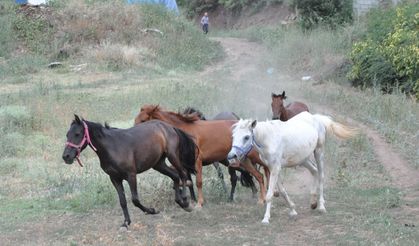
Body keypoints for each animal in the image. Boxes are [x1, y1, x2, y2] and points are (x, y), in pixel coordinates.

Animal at [62, 114, 197, 228]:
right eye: (67, 134)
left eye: (77, 134)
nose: (66, 156)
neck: (113, 147)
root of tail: (169, 127)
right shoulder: (115, 178)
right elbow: (122, 201)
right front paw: (126, 222)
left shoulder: (131, 175)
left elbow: (135, 200)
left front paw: (151, 211)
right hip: (158, 164)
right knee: (175, 176)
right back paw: (180, 202)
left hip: (172, 156)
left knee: (183, 174)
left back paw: (186, 202)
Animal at [136, 104, 270, 207]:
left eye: (143, 120)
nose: (136, 135)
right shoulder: (184, 164)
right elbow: (185, 179)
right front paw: (188, 196)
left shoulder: (197, 162)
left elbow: (198, 182)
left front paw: (199, 203)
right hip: (240, 161)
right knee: (257, 175)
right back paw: (260, 197)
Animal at [226, 112, 358, 224]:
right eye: (233, 136)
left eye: (246, 137)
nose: (232, 156)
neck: (269, 139)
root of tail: (315, 117)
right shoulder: (273, 168)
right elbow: (282, 191)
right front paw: (293, 210)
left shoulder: (275, 168)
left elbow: (269, 195)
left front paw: (266, 218)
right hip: (303, 159)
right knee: (314, 171)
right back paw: (313, 203)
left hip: (319, 152)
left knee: (321, 175)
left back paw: (321, 206)